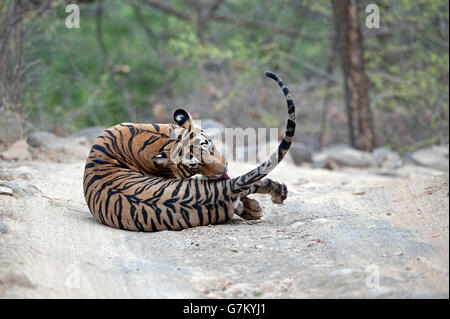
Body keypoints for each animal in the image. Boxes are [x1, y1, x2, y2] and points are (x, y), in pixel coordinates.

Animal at [83, 72, 296, 232]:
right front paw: (254, 208)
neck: (161, 139)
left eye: (208, 144)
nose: (223, 170)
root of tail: (217, 193)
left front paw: (253, 208)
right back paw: (274, 196)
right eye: (195, 165)